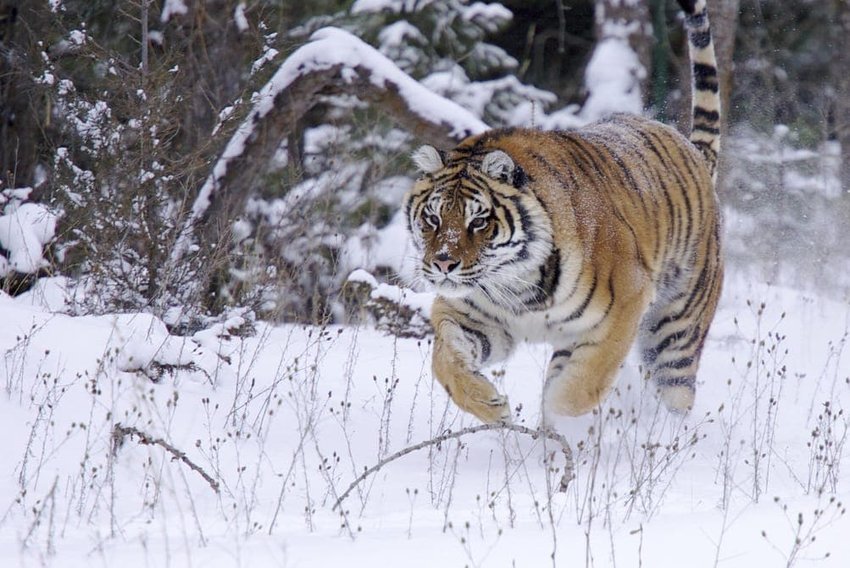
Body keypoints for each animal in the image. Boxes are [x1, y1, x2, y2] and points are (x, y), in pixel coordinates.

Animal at [404, 0, 724, 424]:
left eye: (479, 221)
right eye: (433, 218)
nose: (442, 264)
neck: (517, 286)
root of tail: (691, 149)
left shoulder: (626, 302)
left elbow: (582, 384)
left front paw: (557, 422)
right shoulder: (472, 315)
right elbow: (445, 360)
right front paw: (491, 407)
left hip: (674, 332)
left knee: (676, 396)